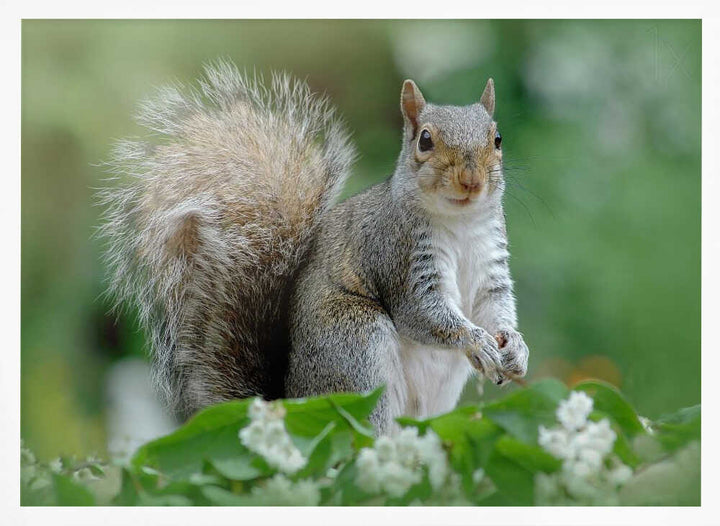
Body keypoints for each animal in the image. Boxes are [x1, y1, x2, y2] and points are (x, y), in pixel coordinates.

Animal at [100, 60, 529, 434]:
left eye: (497, 138)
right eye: (425, 140)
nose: (471, 180)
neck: (459, 224)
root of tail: (290, 403)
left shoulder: (491, 265)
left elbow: (495, 306)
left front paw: (516, 348)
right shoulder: (397, 254)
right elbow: (423, 313)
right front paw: (476, 341)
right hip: (355, 347)